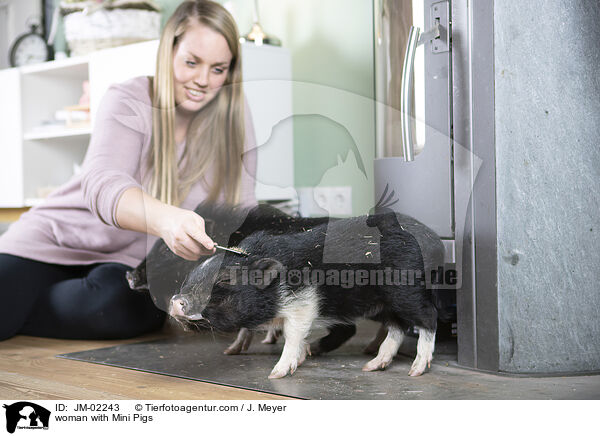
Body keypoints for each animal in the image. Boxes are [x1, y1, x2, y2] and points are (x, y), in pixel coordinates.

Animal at [169, 212, 446, 378]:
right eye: (192, 276)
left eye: (225, 279)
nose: (175, 301)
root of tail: (435, 242)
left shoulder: (303, 304)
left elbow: (293, 335)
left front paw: (277, 373)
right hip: (383, 304)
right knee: (396, 328)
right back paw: (371, 366)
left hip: (406, 294)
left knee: (428, 318)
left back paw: (415, 370)